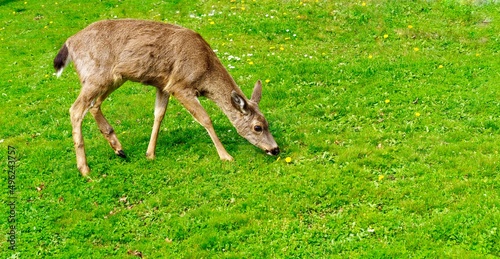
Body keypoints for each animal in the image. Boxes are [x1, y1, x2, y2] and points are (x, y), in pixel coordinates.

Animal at [54, 19, 282, 177]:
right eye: (257, 127)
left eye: (267, 123)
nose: (275, 149)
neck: (205, 70)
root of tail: (69, 43)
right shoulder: (180, 85)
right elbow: (205, 118)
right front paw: (226, 156)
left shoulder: (163, 84)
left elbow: (159, 115)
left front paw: (150, 154)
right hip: (97, 75)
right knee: (76, 109)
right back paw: (85, 169)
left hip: (114, 78)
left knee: (93, 105)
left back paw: (118, 148)